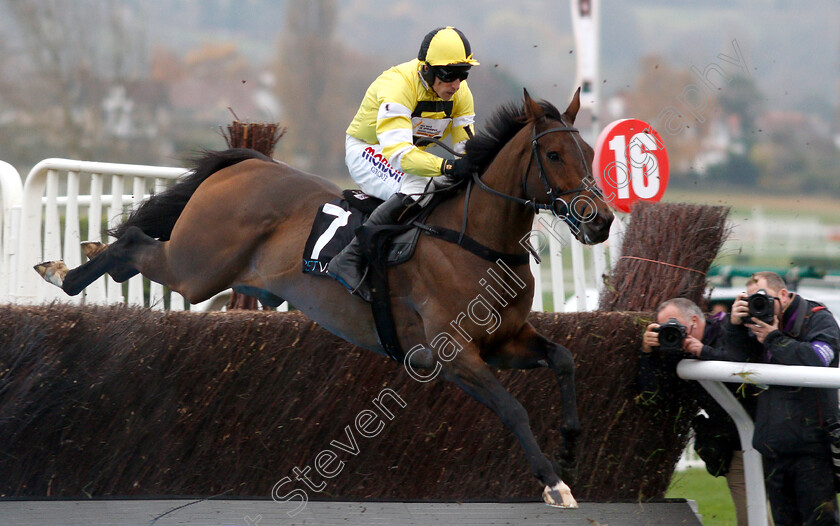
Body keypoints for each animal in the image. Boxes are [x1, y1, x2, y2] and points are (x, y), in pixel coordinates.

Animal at [34, 88, 612, 510]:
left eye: (588, 153)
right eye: (554, 154)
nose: (601, 220)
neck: (474, 241)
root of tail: (247, 163)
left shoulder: (505, 342)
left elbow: (565, 359)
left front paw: (570, 448)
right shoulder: (453, 355)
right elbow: (512, 408)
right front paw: (554, 483)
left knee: (131, 251)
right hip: (195, 269)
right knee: (133, 242)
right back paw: (62, 273)